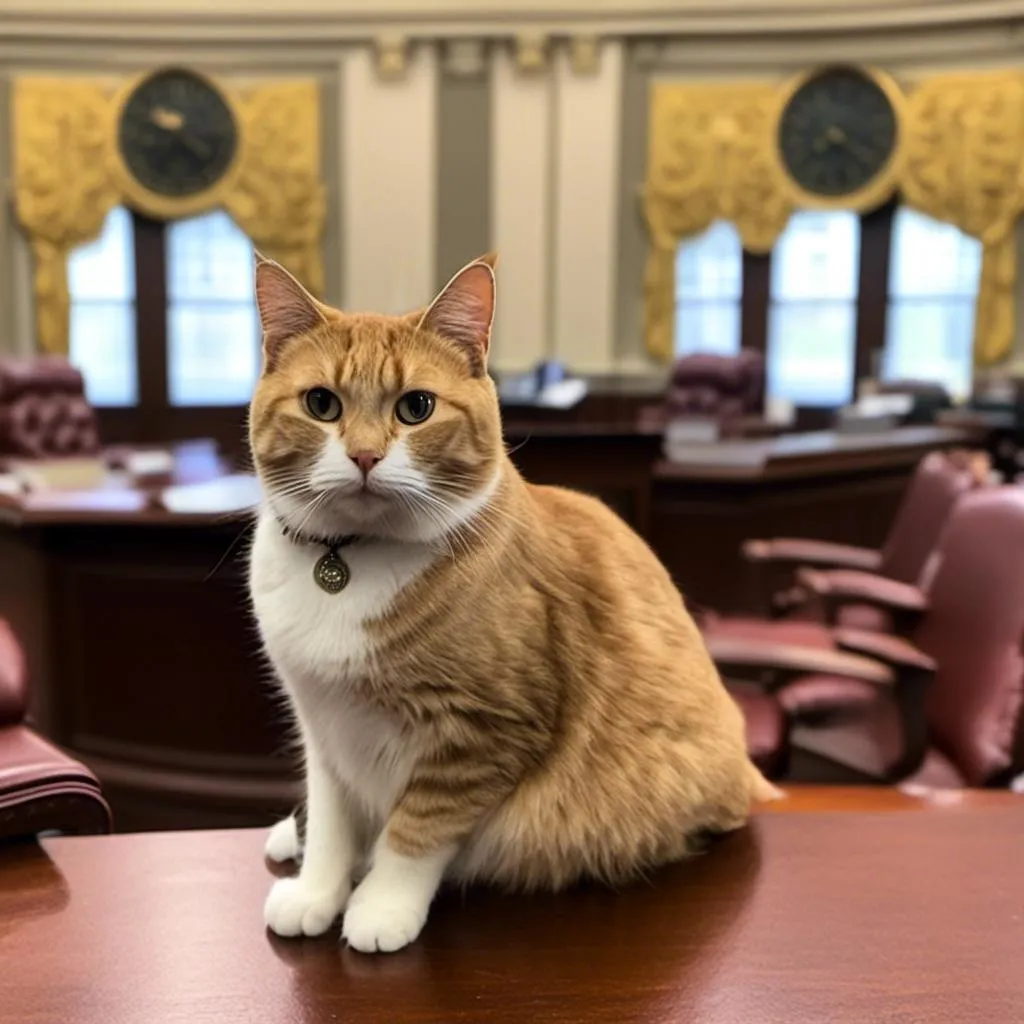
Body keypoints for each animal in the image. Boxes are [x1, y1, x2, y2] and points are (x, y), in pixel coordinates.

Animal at [247, 251, 774, 954]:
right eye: (321, 404)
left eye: (416, 407)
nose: (363, 455)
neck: (348, 561)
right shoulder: (323, 726)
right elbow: (333, 821)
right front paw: (316, 890)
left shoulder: (483, 734)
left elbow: (415, 832)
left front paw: (380, 907)